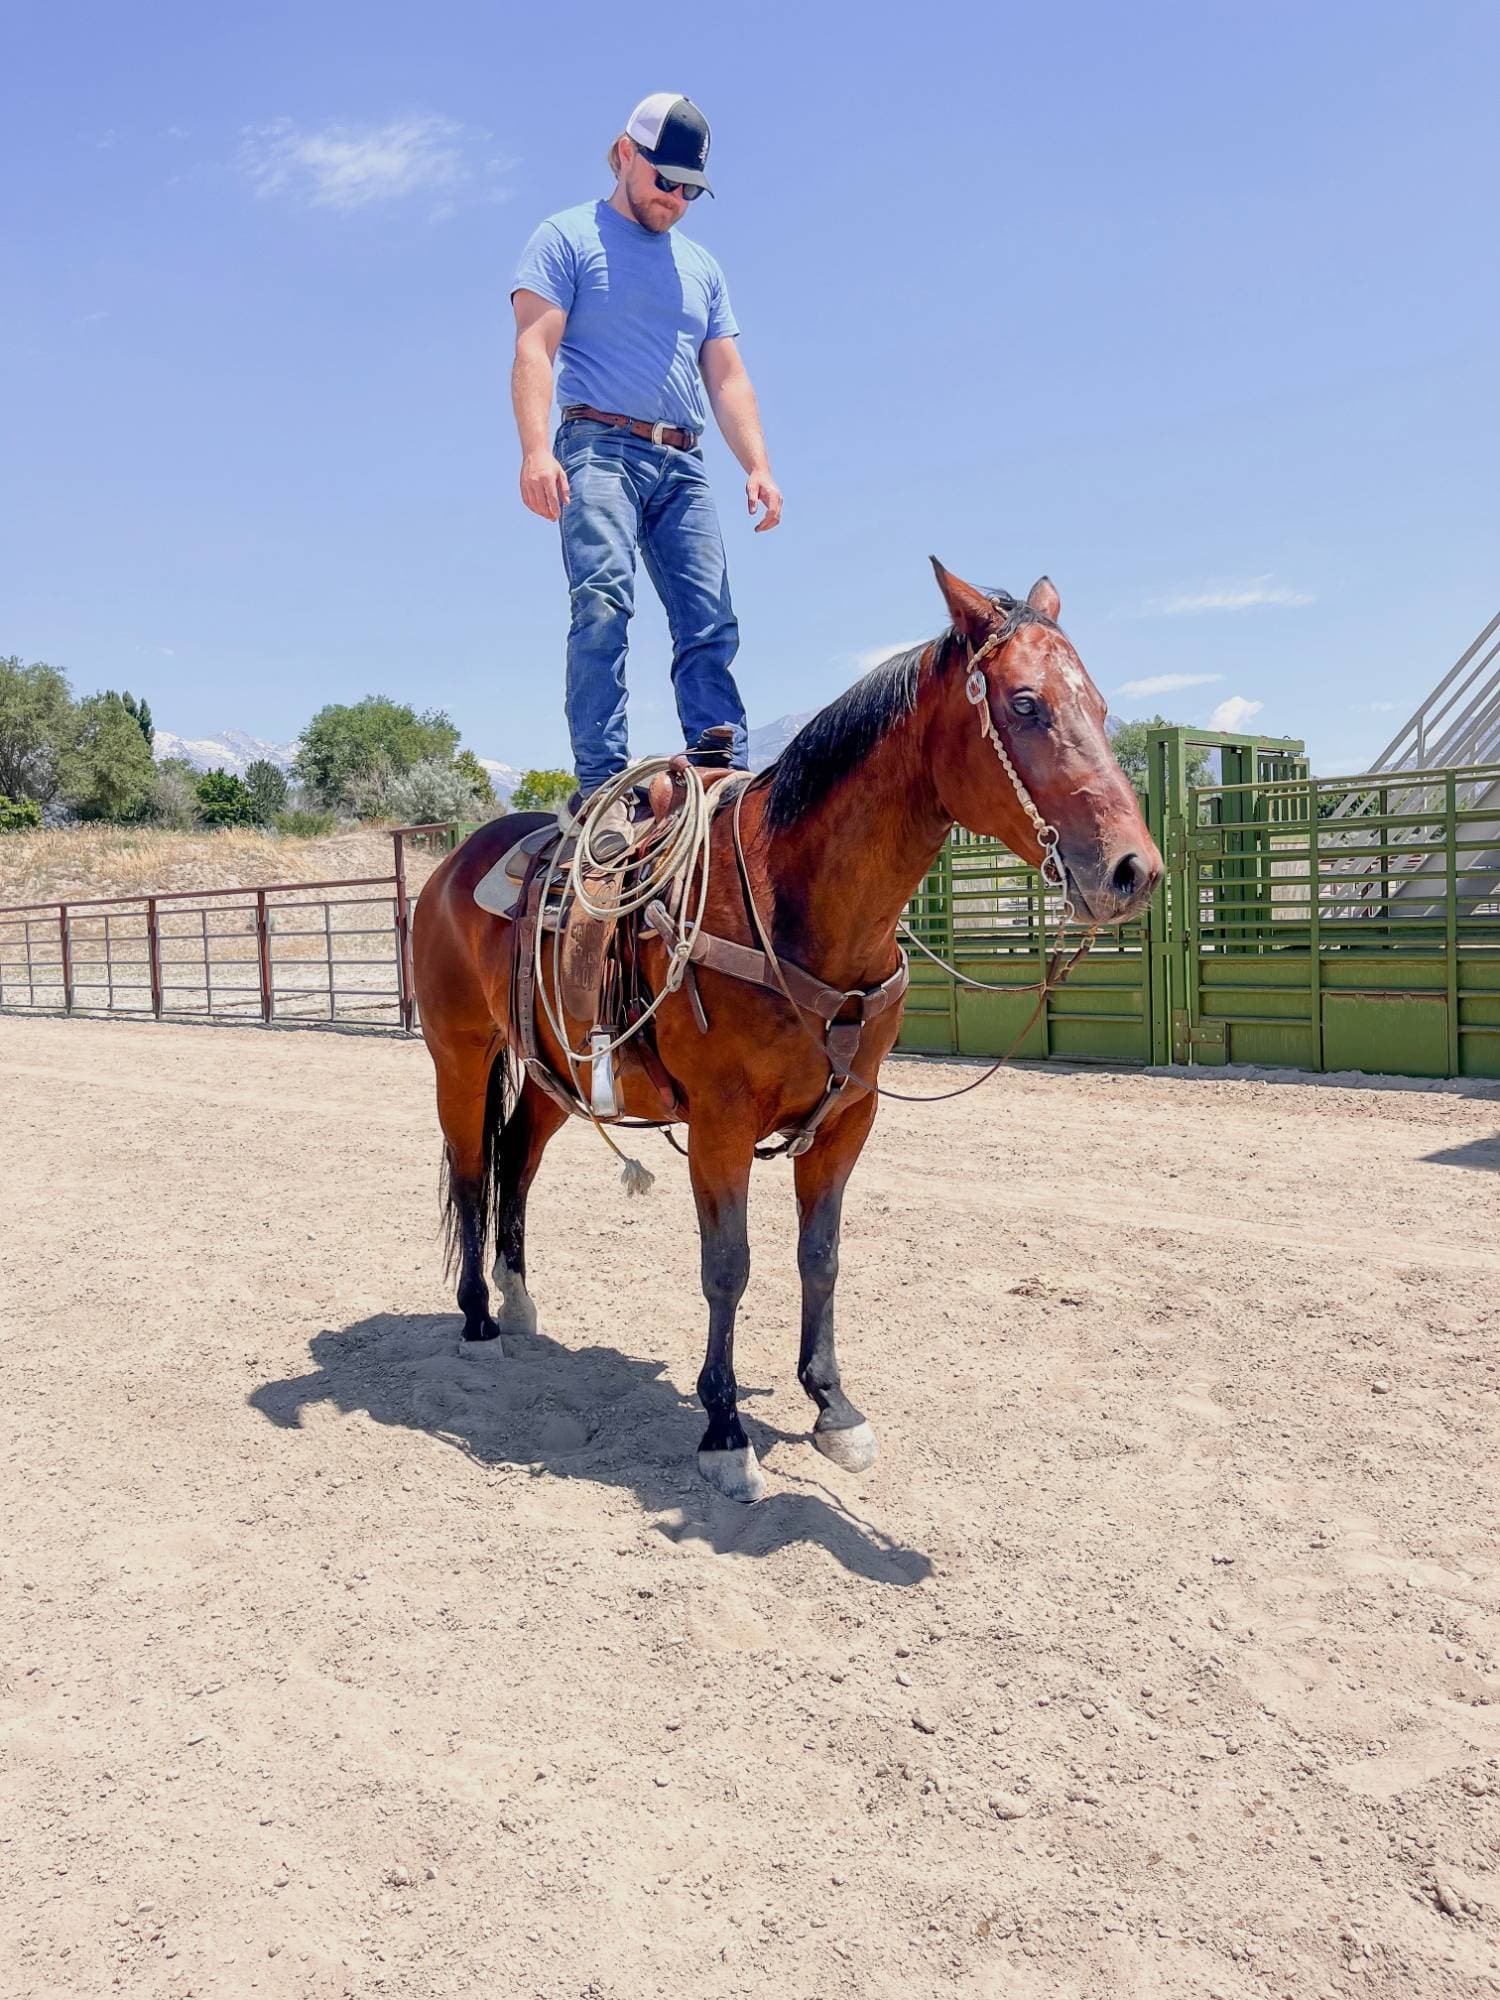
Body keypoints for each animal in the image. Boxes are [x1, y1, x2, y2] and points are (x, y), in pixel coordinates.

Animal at [412, 561, 1162, 1502]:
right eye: (1024, 703)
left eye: (1097, 704)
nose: (1133, 871)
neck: (792, 898)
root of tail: (451, 863)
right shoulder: (720, 1125)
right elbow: (727, 1266)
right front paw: (724, 1429)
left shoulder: (846, 1120)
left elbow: (822, 1257)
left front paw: (832, 1407)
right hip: (459, 1055)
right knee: (472, 1170)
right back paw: (477, 1317)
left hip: (559, 1070)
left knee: (516, 1153)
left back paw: (517, 1302)